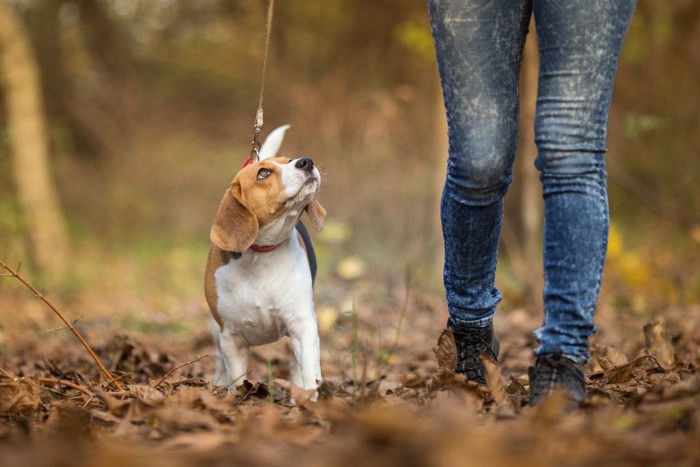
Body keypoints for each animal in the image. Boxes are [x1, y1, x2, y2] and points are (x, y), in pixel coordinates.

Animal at [201, 125, 324, 392]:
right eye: (263, 173)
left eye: (289, 160)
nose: (306, 161)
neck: (261, 255)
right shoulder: (231, 338)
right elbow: (237, 380)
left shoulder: (302, 324)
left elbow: (308, 369)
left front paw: (309, 396)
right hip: (215, 331)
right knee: (220, 364)